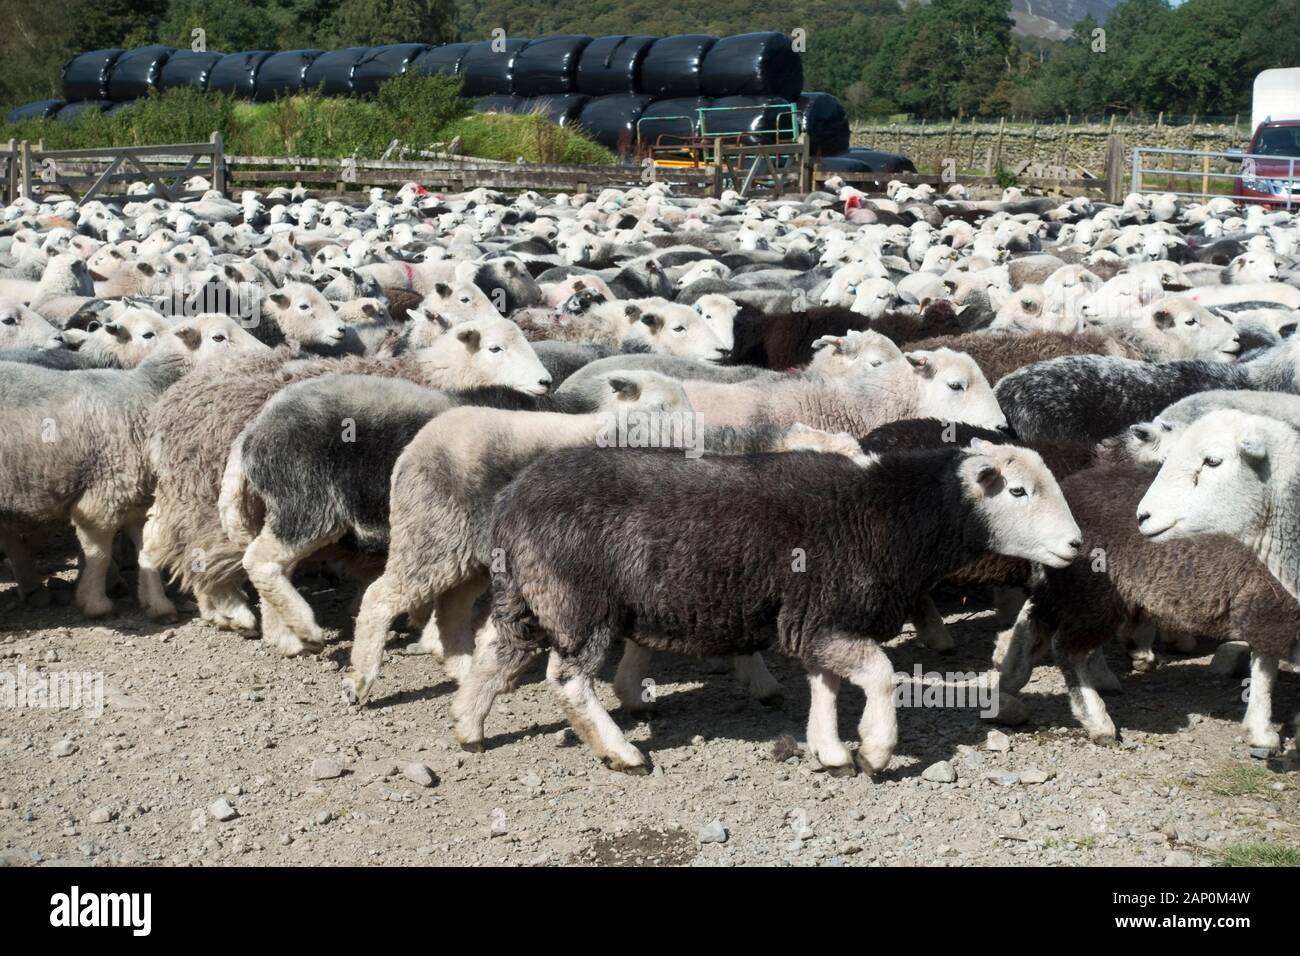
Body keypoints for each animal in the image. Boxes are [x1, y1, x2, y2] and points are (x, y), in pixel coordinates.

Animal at [452, 439, 1080, 774]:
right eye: (1017, 492)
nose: (1076, 545)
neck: (890, 514)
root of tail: (510, 500)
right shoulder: (829, 614)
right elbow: (880, 674)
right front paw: (876, 750)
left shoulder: (822, 619)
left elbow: (826, 683)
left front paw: (830, 750)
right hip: (579, 602)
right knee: (566, 679)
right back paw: (621, 752)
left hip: (528, 595)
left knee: (495, 652)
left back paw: (467, 728)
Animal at [997, 461, 1299, 754]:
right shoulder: (1270, 606)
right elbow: (1265, 671)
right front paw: (1263, 733)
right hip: (1094, 594)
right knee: (1066, 647)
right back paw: (1098, 721)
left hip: (1066, 587)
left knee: (1034, 621)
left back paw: (1009, 682)